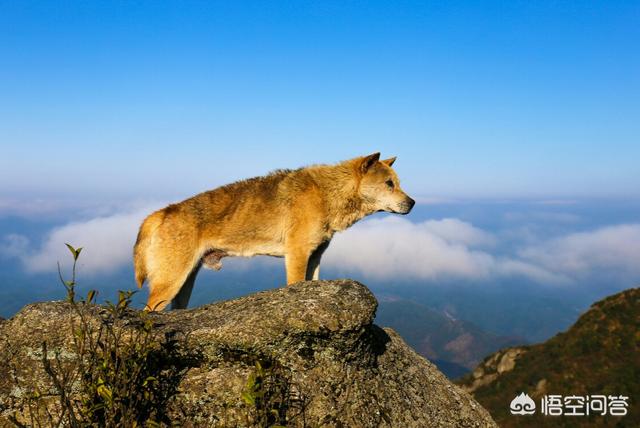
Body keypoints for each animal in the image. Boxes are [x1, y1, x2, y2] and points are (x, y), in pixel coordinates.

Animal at [134, 154, 416, 310]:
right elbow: (295, 284)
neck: (327, 194)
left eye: (398, 183)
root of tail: (161, 212)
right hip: (169, 285)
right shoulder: (296, 255)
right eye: (389, 184)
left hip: (184, 285)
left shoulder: (314, 258)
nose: (412, 203)